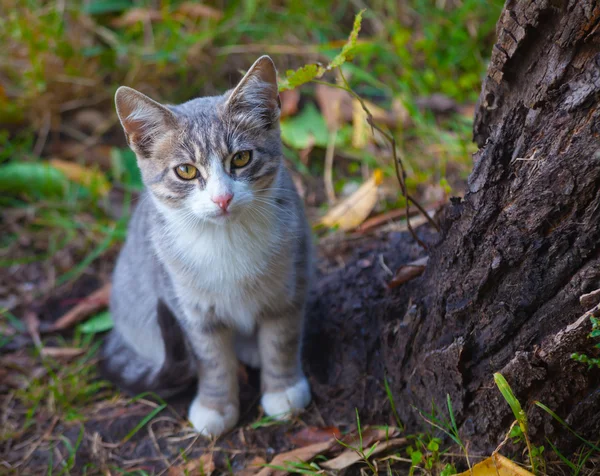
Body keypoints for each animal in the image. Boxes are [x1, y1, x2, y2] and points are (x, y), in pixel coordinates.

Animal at [100, 54, 312, 436]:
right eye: (185, 171)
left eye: (241, 159)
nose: (222, 198)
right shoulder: (186, 305)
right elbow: (212, 359)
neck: (226, 240)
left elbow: (282, 340)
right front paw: (216, 405)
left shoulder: (292, 276)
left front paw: (283, 390)